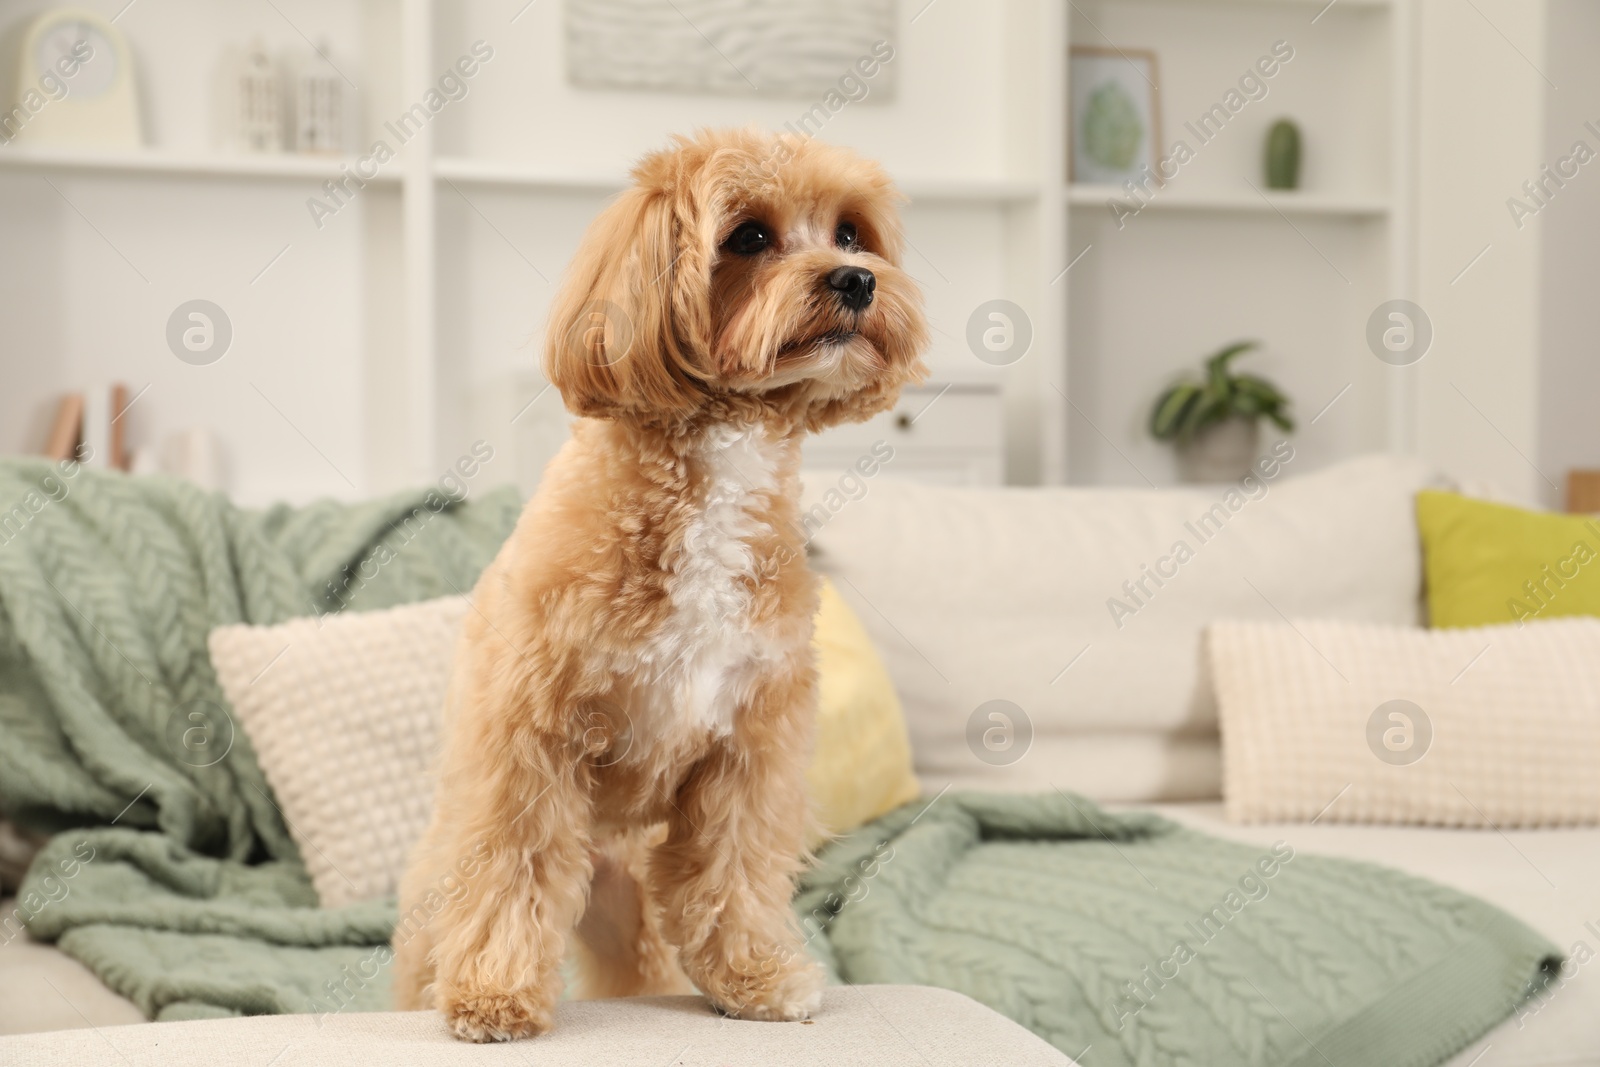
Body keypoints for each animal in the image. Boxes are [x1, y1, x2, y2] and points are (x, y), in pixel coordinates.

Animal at [392, 131, 934, 1043]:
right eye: (748, 236)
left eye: (851, 234)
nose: (856, 280)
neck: (718, 459)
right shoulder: (532, 735)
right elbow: (514, 861)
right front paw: (494, 994)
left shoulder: (751, 745)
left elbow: (736, 869)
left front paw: (753, 977)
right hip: (443, 890)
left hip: (627, 913)